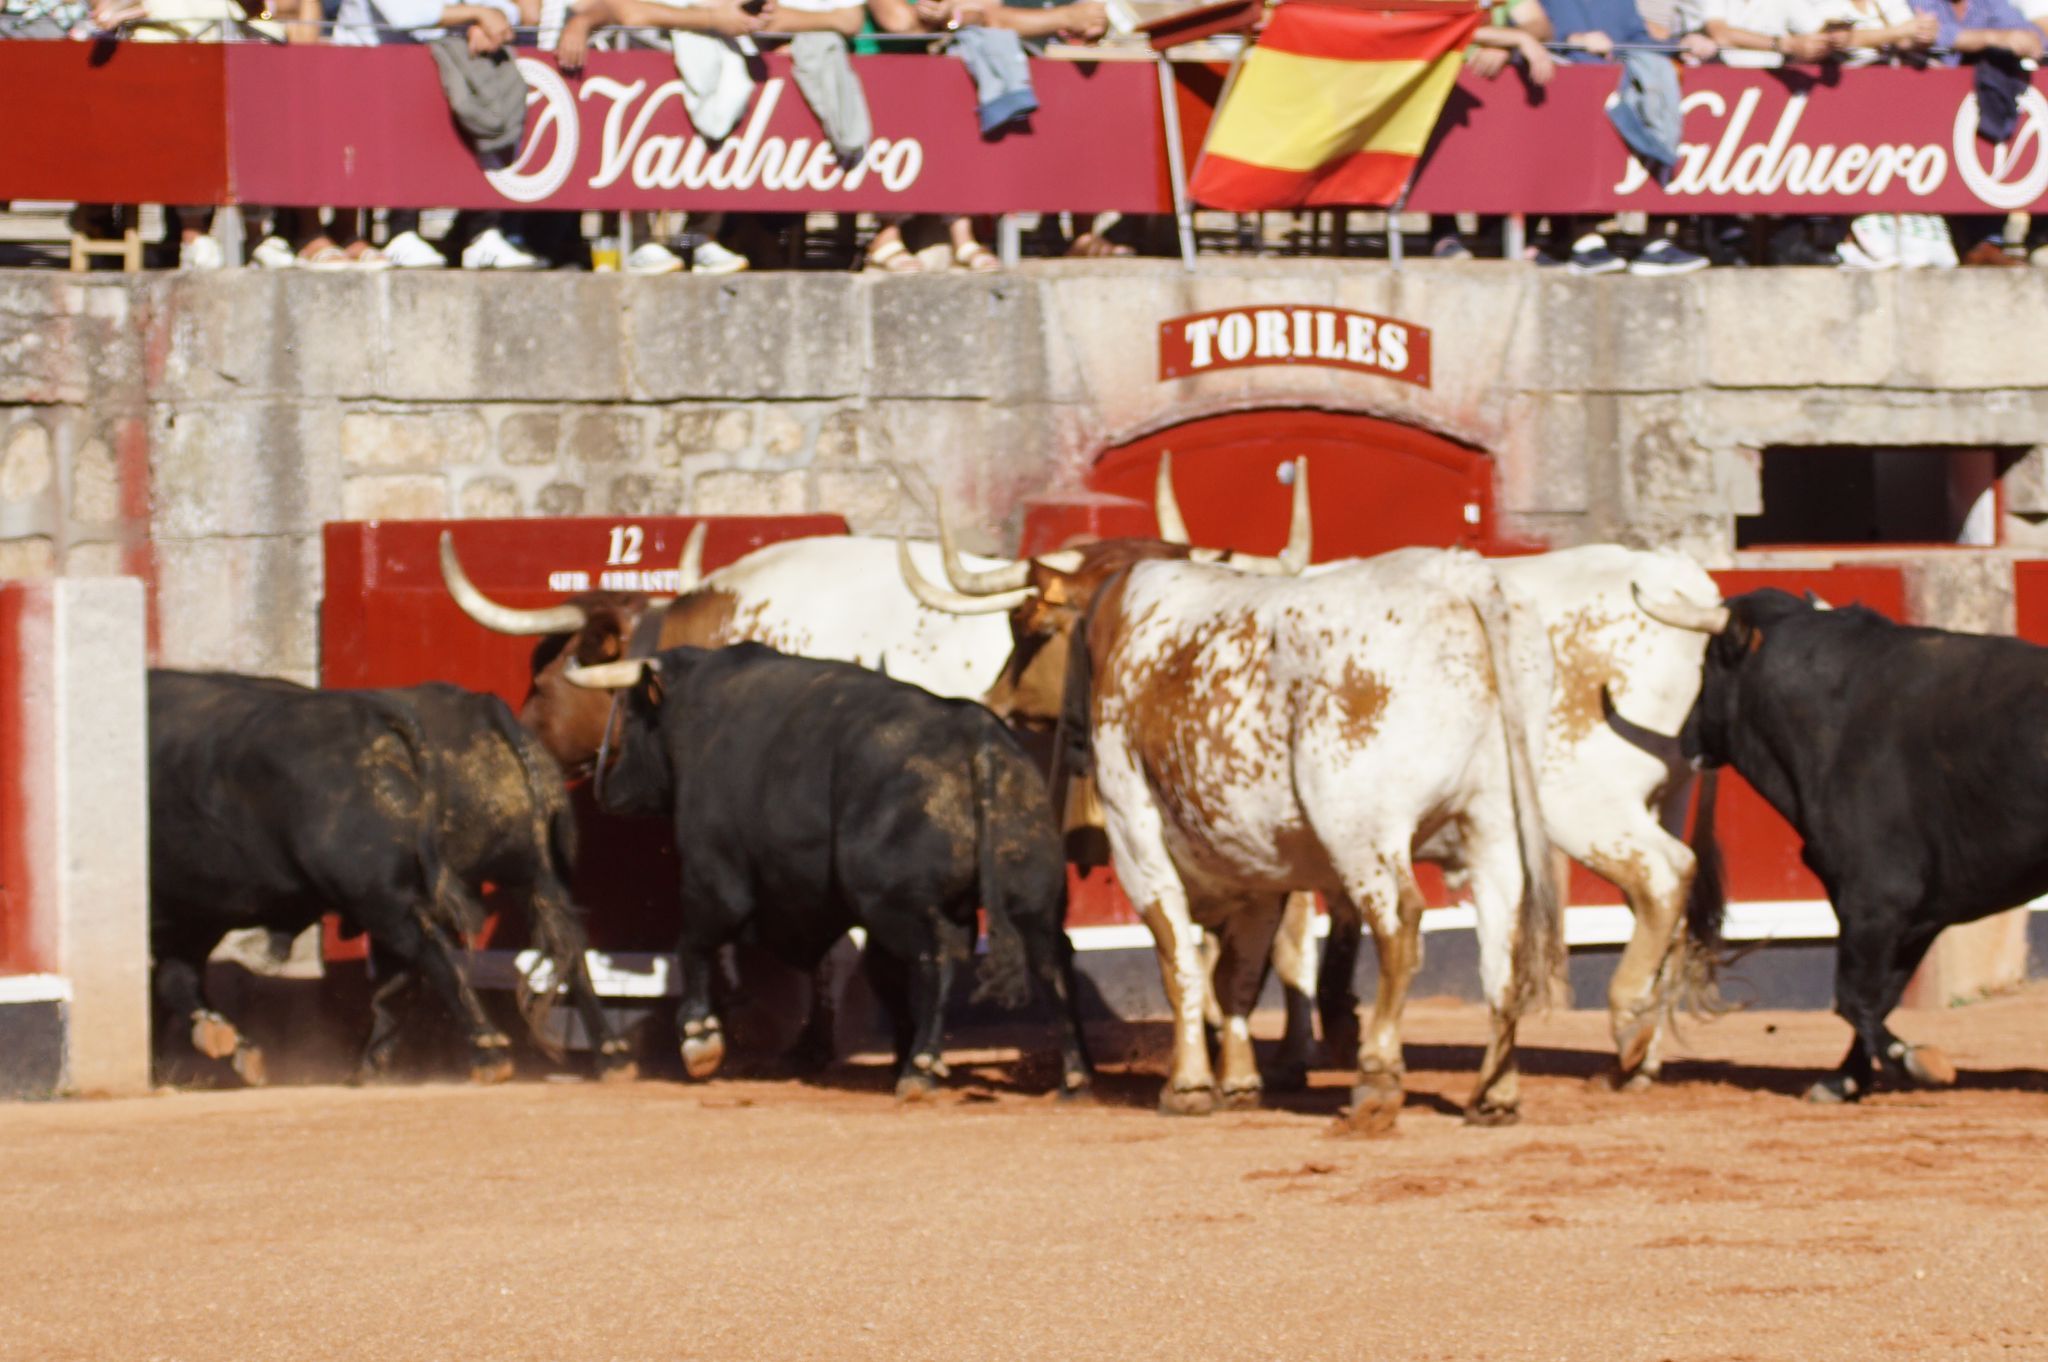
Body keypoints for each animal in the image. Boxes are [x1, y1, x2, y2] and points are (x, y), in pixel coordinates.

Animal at [152, 671, 622, 1081]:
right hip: (534, 878)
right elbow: (175, 979)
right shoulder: (191, 919)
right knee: (565, 946)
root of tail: (479, 711)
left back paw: (485, 1052)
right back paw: (610, 1055)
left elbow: (166, 984)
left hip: (380, 897)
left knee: (431, 953)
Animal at [585, 643, 1097, 1097]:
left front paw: (699, 1040)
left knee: (939, 960)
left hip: (900, 906)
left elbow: (693, 944)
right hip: (1030, 896)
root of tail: (976, 736)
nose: (610, 788)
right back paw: (1074, 1075)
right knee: (1051, 959)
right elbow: (882, 977)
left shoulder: (713, 880)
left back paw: (921, 1070)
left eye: (632, 717)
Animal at [1679, 589, 2048, 1097]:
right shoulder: (1912, 915)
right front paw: (1843, 1081)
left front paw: (1916, 1061)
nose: (1685, 737)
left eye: (1706, 665)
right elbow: (1877, 996)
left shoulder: (1876, 900)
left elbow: (1853, 998)